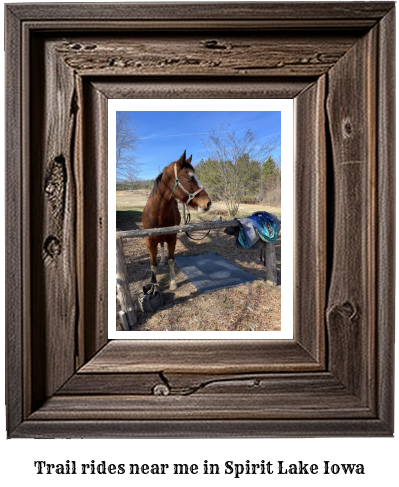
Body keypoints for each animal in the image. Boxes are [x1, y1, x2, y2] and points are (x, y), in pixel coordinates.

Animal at [143, 151, 212, 290]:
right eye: (190, 178)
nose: (208, 203)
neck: (156, 215)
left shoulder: (172, 238)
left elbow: (171, 260)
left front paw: (173, 282)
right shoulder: (149, 242)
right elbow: (153, 264)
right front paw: (153, 283)